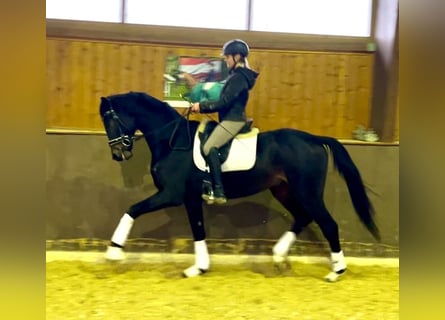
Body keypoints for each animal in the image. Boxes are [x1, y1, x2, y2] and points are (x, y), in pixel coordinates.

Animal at [99, 90, 380, 280]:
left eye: (110, 118)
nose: (118, 154)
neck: (172, 140)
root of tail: (314, 139)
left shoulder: (171, 194)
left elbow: (133, 209)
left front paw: (114, 253)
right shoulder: (190, 198)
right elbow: (198, 230)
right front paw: (198, 268)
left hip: (307, 191)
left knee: (327, 223)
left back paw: (336, 271)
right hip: (284, 189)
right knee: (302, 217)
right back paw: (279, 256)